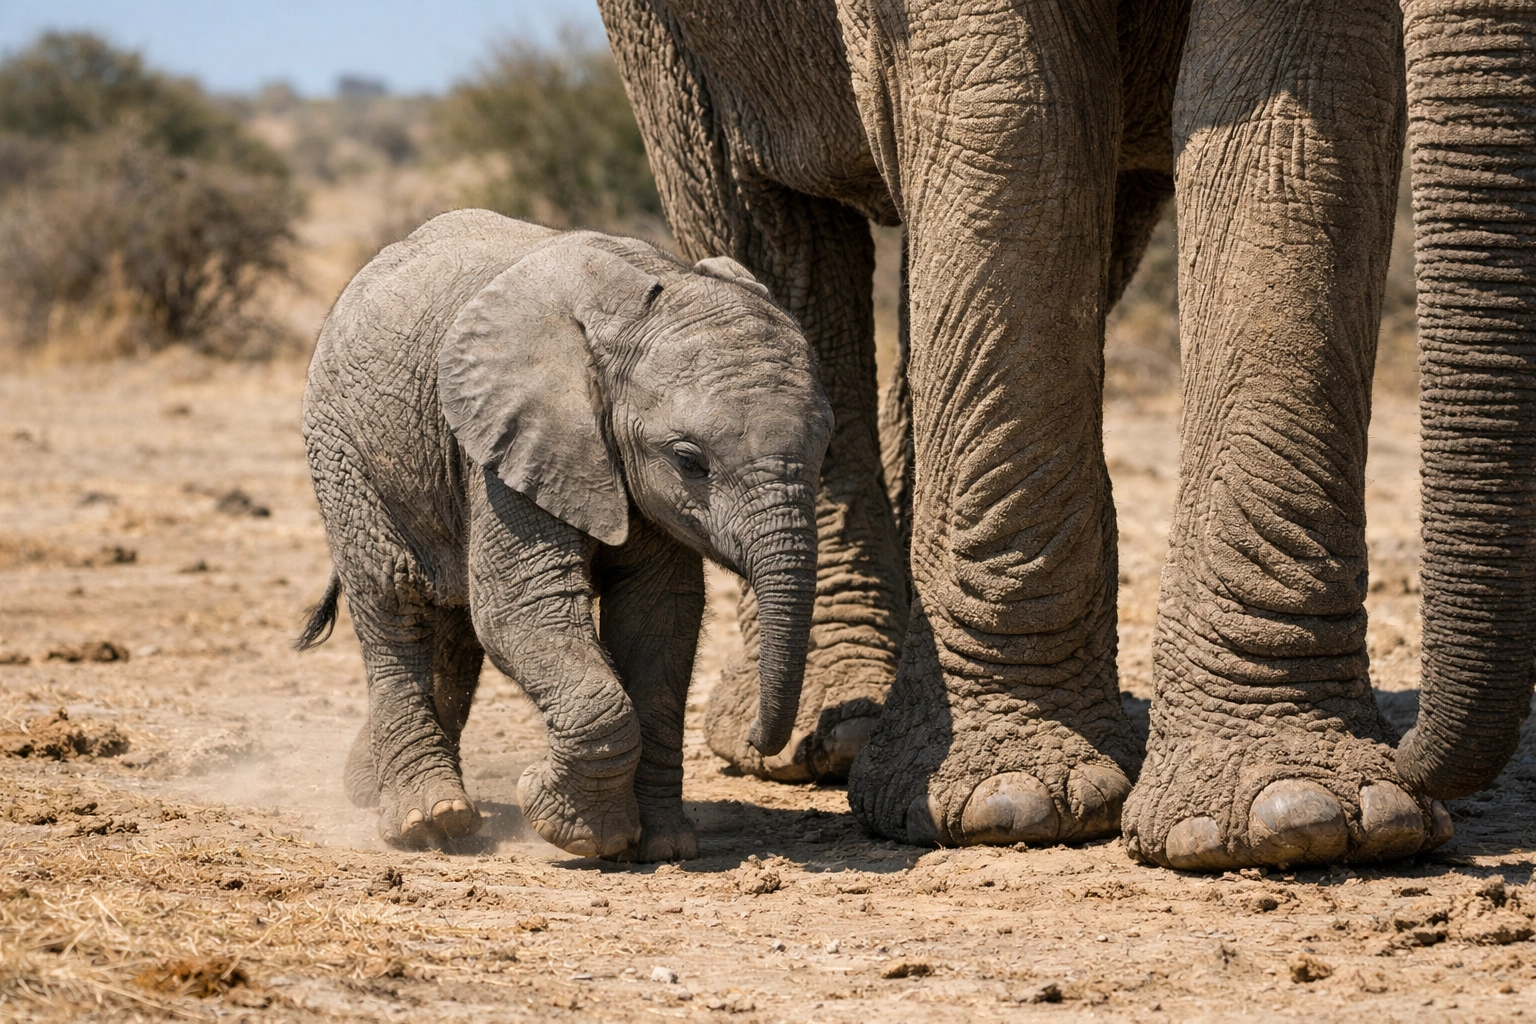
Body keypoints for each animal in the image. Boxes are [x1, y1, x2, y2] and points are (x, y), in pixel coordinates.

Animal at [297, 208, 832, 859]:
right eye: (689, 460)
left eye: (826, 448)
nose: (757, 739)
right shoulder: (509, 443)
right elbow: (523, 608)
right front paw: (574, 829)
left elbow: (661, 619)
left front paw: (663, 846)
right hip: (342, 445)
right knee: (394, 601)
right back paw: (430, 824)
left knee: (454, 623)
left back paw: (372, 788)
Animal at [597, 0, 1536, 869]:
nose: (1416, 756)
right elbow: (1014, 110)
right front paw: (1010, 804)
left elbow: (1304, 118)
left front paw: (1309, 813)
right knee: (760, 216)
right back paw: (832, 733)